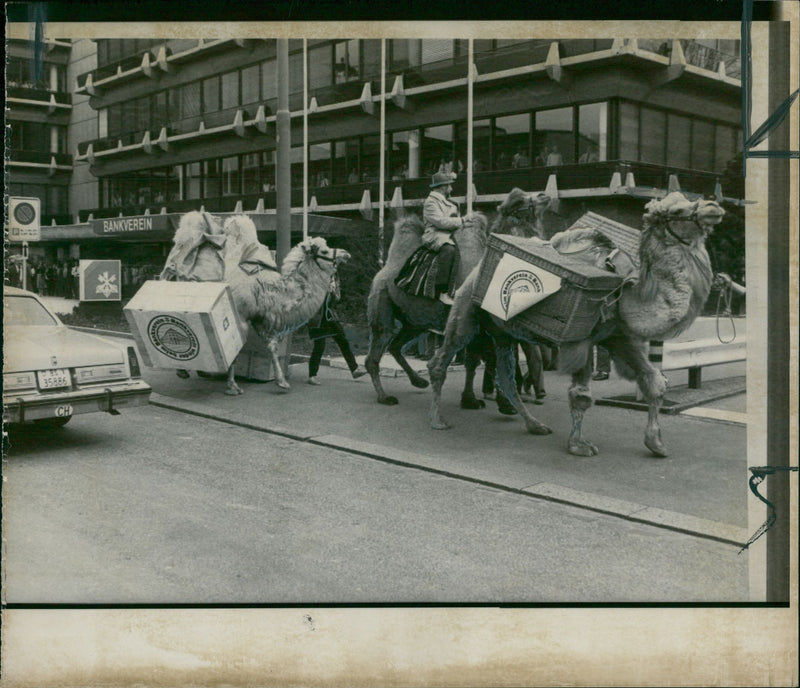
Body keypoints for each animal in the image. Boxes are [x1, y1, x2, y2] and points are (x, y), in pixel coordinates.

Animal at [428, 191, 728, 456]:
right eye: (676, 211)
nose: (713, 207)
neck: (626, 293)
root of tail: (475, 270)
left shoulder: (618, 337)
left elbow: (654, 382)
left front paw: (657, 444)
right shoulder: (581, 340)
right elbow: (581, 396)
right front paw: (579, 446)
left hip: (503, 332)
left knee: (506, 376)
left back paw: (535, 425)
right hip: (466, 313)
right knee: (440, 362)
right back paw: (438, 420)